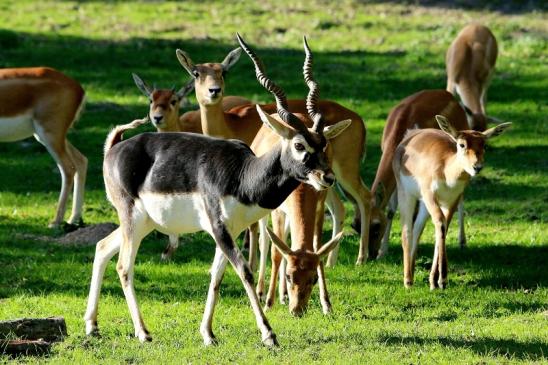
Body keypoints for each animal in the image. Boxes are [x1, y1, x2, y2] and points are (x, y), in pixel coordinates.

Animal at [0, 66, 86, 228]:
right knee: (81, 160)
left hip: (49, 134)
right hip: (49, 136)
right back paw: (73, 219)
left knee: (68, 168)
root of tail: (79, 88)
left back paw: (56, 222)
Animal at [368, 89, 480, 258]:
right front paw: (383, 252)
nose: (371, 255)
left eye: (376, 226)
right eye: (355, 224)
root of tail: (450, 95)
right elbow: (391, 209)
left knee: (460, 198)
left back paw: (462, 242)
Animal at [392, 115, 512, 288]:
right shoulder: (429, 194)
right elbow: (440, 223)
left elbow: (443, 228)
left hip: (424, 204)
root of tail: (411, 134)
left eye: (484, 145)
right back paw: (408, 281)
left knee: (418, 229)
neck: (446, 173)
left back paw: (414, 273)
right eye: (462, 144)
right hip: (406, 194)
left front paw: (435, 281)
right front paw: (442, 280)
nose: (477, 167)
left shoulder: (453, 199)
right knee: (406, 230)